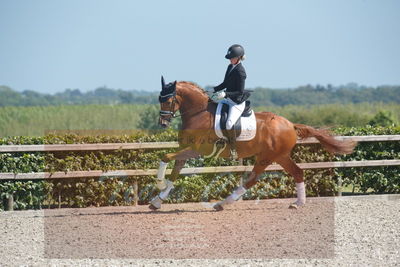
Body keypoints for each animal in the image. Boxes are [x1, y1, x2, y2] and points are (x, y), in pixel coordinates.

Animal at [151, 77, 356, 211]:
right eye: (159, 99)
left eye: (168, 100)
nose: (162, 123)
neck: (198, 113)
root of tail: (290, 124)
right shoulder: (186, 150)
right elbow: (174, 171)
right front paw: (158, 200)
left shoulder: (197, 150)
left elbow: (166, 156)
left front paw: (159, 184)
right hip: (280, 156)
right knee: (297, 172)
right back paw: (298, 203)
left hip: (266, 157)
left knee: (252, 179)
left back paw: (223, 203)